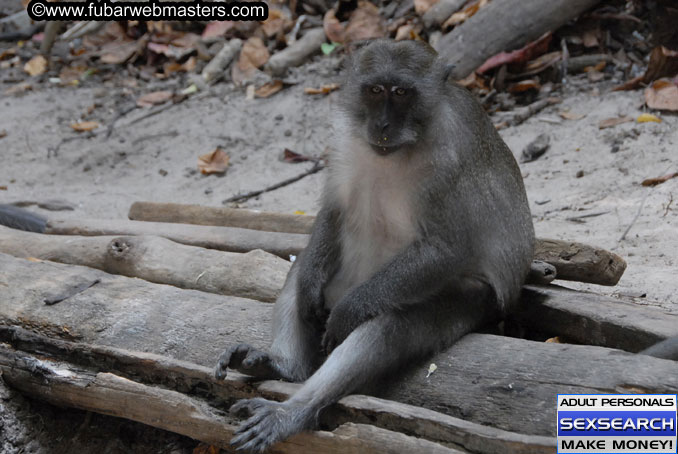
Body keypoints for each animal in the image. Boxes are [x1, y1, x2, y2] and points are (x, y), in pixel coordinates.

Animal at [212, 40, 536, 454]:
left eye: (401, 93)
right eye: (375, 90)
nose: (382, 125)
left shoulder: (449, 163)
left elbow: (444, 249)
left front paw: (350, 312)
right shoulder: (343, 138)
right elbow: (334, 211)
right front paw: (308, 294)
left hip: (472, 301)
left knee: (389, 325)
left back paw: (295, 410)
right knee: (302, 272)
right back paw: (286, 365)